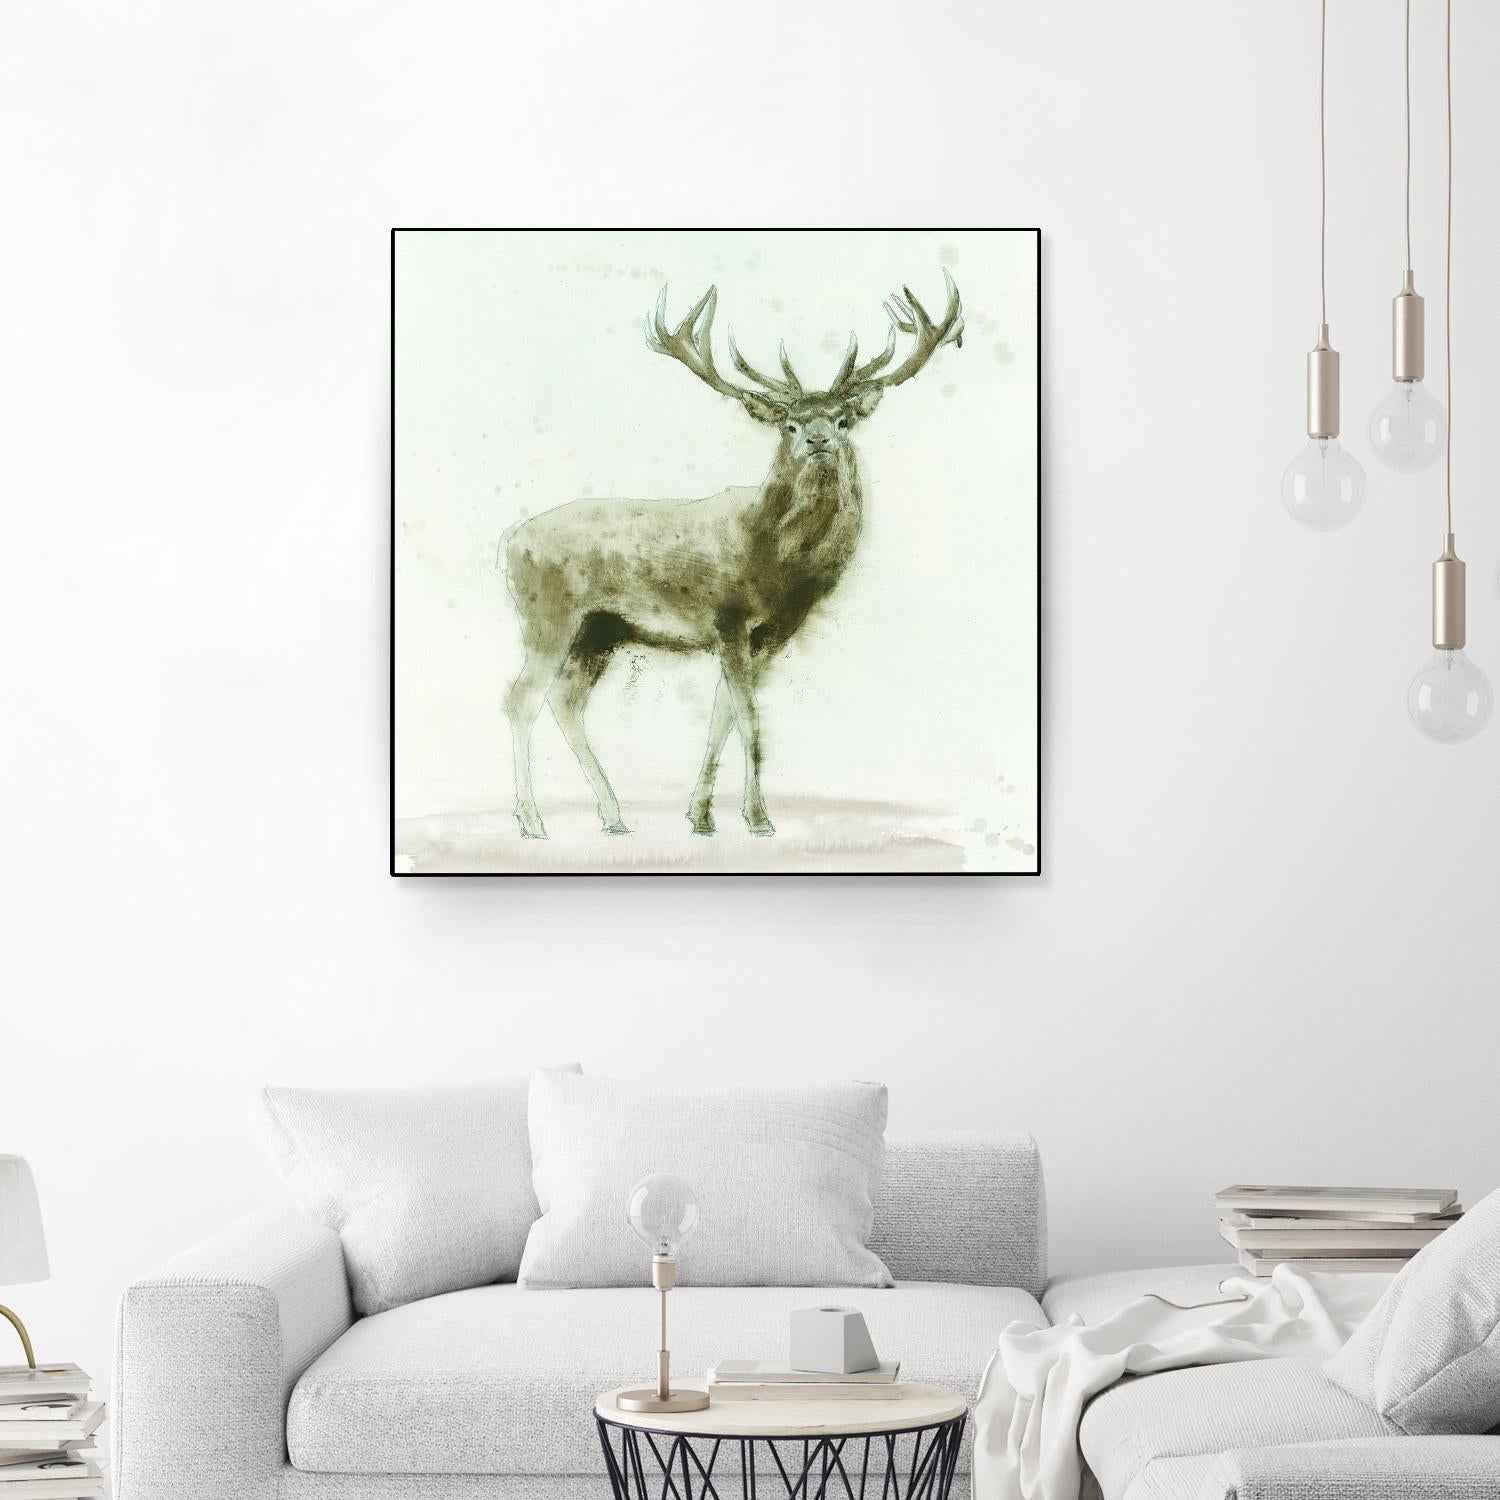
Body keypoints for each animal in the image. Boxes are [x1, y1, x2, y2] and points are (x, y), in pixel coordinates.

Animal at [501, 269, 964, 841]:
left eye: (842, 420)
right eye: (790, 424)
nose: (817, 440)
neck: (775, 561)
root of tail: (508, 543)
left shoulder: (767, 636)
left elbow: (723, 714)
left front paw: (701, 815)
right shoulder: (728, 618)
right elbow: (750, 718)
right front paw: (760, 819)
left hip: (600, 630)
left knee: (565, 702)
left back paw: (613, 815)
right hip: (548, 615)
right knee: (521, 699)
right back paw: (532, 821)